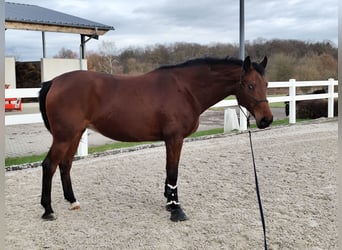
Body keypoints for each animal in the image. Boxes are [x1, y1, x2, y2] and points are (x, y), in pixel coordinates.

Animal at [38, 56, 272, 221]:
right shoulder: (175, 138)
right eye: (250, 85)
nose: (266, 119)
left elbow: (170, 173)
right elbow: (173, 172)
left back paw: (72, 201)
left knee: (65, 165)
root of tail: (54, 82)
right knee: (49, 165)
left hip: (75, 134)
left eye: (266, 84)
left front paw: (169, 201)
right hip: (64, 136)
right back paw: (48, 210)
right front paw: (176, 209)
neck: (185, 89)